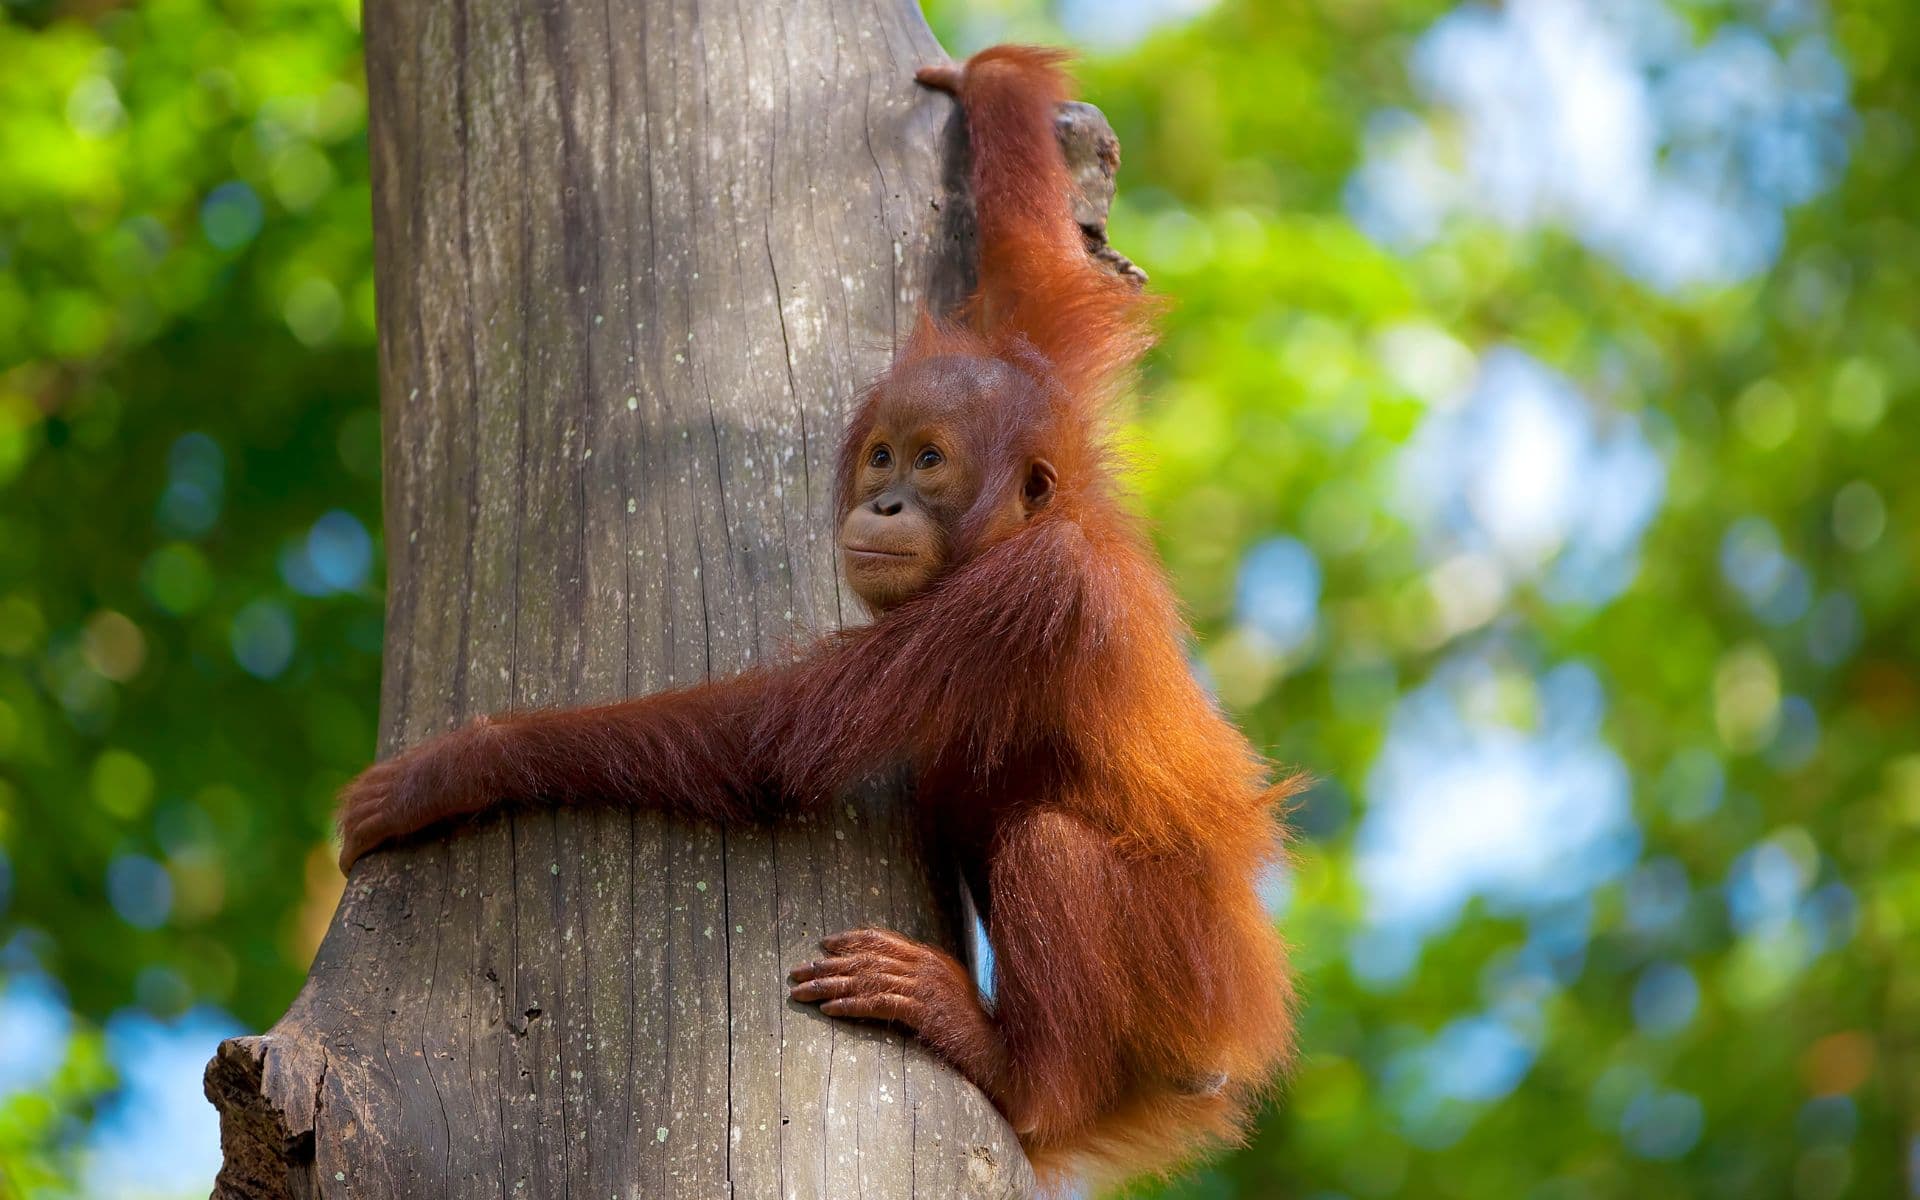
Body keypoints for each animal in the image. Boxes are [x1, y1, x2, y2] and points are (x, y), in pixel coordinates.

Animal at [336, 44, 1296, 1188]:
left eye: (930, 464)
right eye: (883, 456)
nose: (882, 504)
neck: (1024, 530)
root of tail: (1236, 1039)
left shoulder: (1021, 592)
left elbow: (777, 743)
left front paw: (451, 768)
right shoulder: (1049, 396)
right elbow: (1044, 283)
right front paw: (992, 85)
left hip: (1182, 979)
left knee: (1049, 846)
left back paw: (1018, 1071)